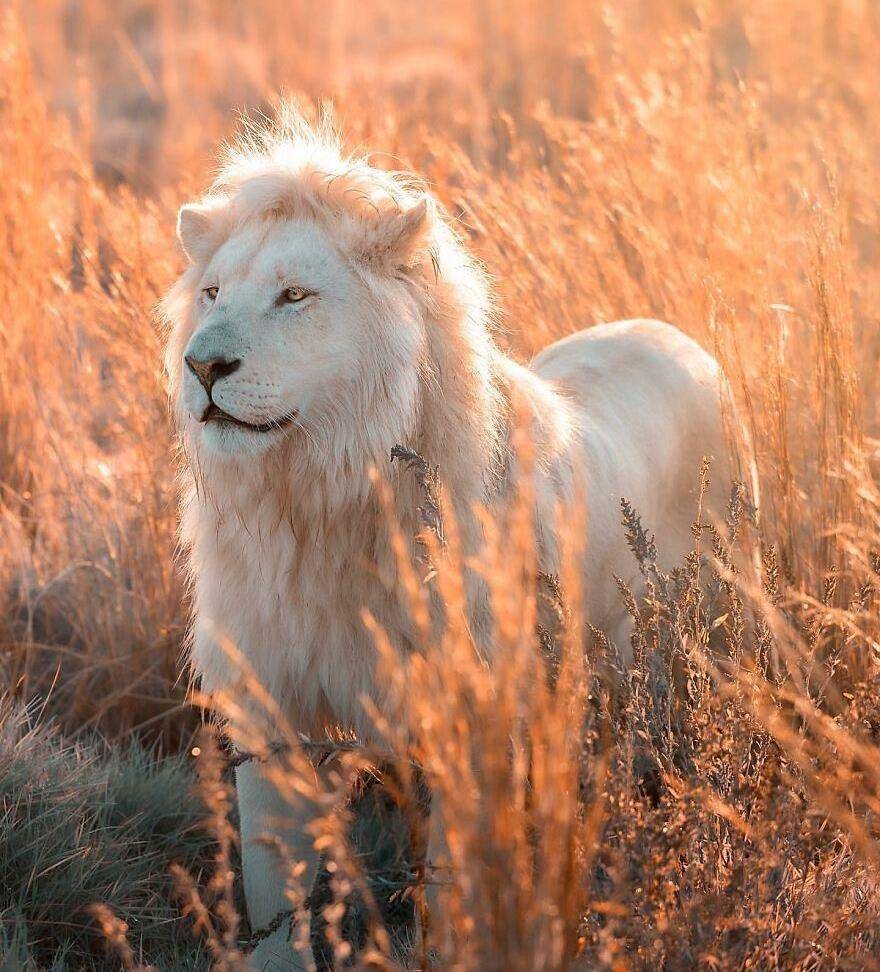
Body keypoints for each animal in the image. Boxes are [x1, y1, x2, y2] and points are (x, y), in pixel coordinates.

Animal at [163, 108, 736, 964]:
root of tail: (675, 335)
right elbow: (272, 894)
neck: (320, 502)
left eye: (294, 295)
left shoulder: (472, 717)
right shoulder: (270, 709)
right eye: (211, 293)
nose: (202, 365)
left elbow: (451, 885)